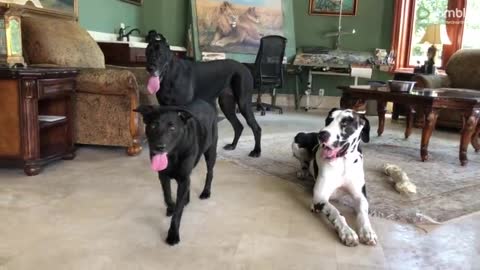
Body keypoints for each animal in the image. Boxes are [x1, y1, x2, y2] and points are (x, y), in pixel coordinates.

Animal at [135, 99, 218, 247]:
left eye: (172, 128)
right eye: (153, 126)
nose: (159, 147)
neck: (173, 155)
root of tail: (205, 101)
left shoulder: (183, 178)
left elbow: (178, 213)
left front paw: (173, 234)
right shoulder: (163, 176)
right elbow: (167, 196)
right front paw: (171, 207)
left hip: (211, 151)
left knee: (210, 172)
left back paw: (206, 192)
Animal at [290, 108, 376, 246]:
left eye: (345, 123)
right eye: (328, 119)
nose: (322, 134)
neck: (343, 163)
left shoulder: (361, 197)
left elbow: (363, 213)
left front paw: (367, 231)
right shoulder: (320, 196)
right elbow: (335, 212)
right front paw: (347, 232)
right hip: (298, 141)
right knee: (304, 163)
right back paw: (303, 172)